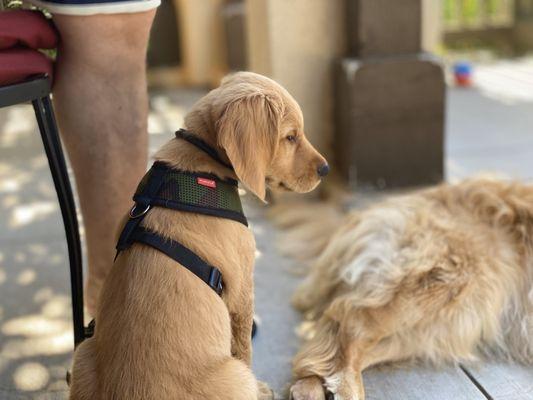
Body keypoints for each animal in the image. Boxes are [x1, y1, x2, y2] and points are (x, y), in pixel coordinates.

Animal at [68, 72, 326, 400]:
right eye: (291, 137)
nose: (326, 169)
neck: (201, 164)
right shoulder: (242, 293)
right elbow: (244, 349)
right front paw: (261, 388)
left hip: (83, 354)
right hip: (234, 375)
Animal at [286, 180, 532, 400]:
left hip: (445, 323)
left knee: (333, 335)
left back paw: (307, 389)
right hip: (454, 280)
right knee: (352, 319)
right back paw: (346, 389)